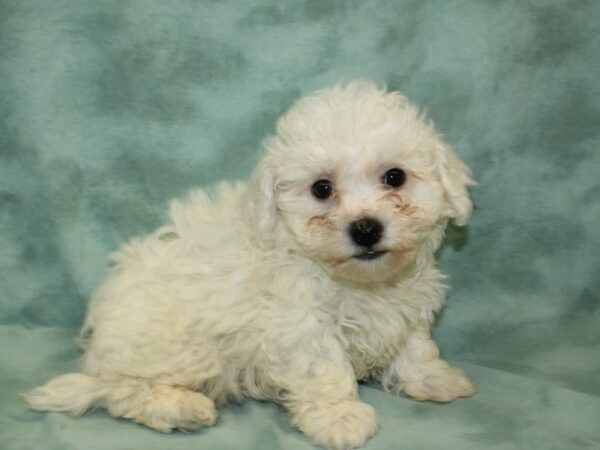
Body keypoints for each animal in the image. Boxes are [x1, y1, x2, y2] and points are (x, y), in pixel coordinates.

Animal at [25, 81, 476, 450]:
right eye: (321, 188)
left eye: (395, 177)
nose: (365, 229)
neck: (361, 282)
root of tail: (98, 356)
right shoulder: (299, 324)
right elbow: (324, 369)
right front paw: (340, 417)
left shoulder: (407, 306)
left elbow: (414, 346)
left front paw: (431, 377)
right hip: (179, 349)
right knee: (123, 393)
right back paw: (181, 407)